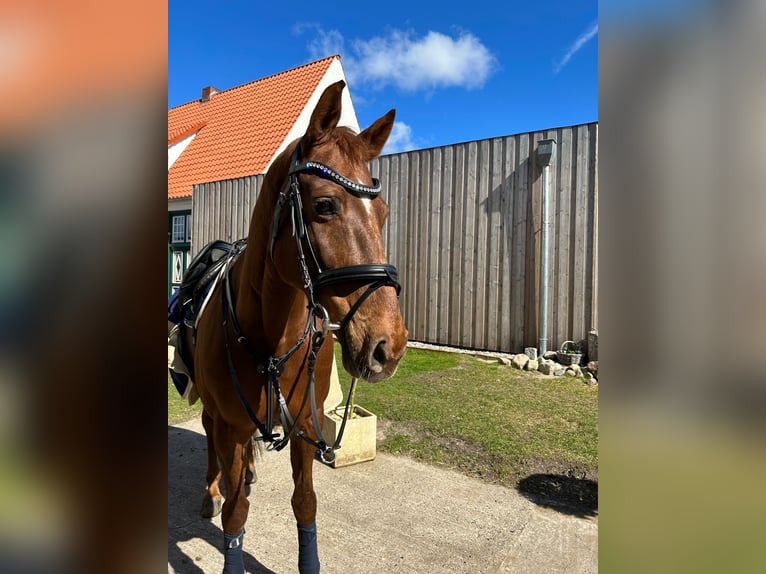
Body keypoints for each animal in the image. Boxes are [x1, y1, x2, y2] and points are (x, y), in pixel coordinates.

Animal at [181, 80, 408, 574]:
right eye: (324, 205)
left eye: (383, 212)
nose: (389, 345)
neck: (271, 336)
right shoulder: (231, 424)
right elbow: (235, 515)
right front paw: (223, 502)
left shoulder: (305, 423)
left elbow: (305, 503)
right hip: (214, 411)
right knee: (210, 440)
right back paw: (211, 489)